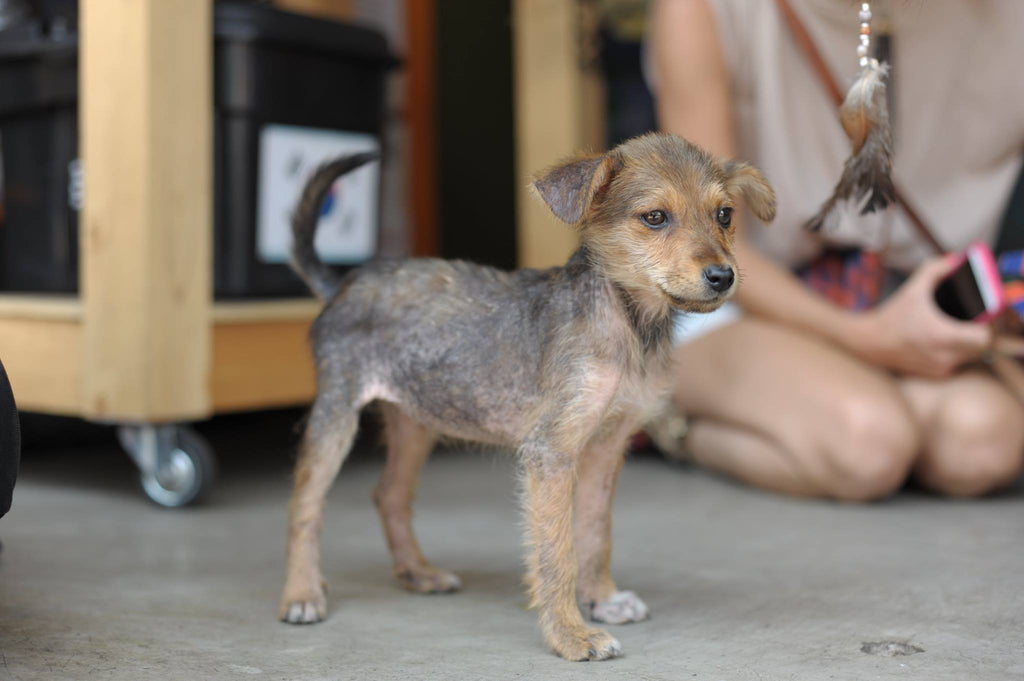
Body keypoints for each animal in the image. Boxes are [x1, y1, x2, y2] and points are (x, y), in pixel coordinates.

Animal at [276, 133, 770, 659]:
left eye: (724, 215)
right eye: (654, 217)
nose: (723, 276)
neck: (625, 322)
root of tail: (344, 284)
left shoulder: (606, 448)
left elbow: (595, 533)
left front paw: (603, 599)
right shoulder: (551, 452)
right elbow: (557, 552)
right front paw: (572, 635)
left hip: (416, 420)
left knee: (389, 493)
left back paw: (418, 573)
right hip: (336, 416)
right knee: (304, 506)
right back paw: (302, 593)